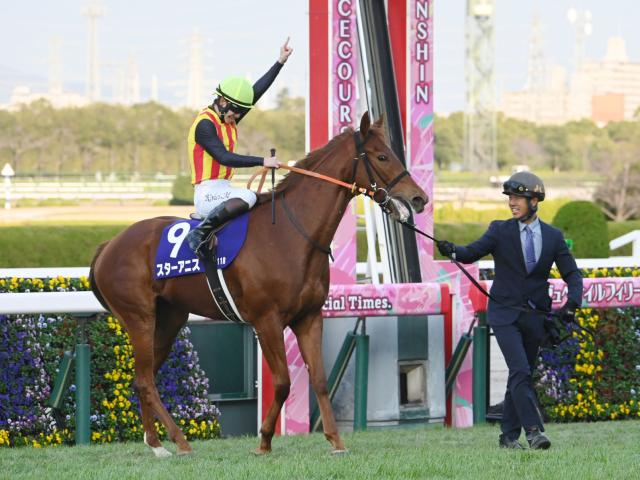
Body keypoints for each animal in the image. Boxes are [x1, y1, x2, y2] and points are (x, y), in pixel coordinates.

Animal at [89, 112, 428, 457]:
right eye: (382, 156)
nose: (419, 198)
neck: (291, 235)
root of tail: (107, 245)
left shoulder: (309, 317)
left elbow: (319, 380)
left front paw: (336, 440)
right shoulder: (266, 320)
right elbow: (282, 382)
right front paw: (264, 440)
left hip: (169, 319)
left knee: (142, 378)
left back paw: (155, 442)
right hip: (140, 318)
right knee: (145, 380)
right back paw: (178, 441)